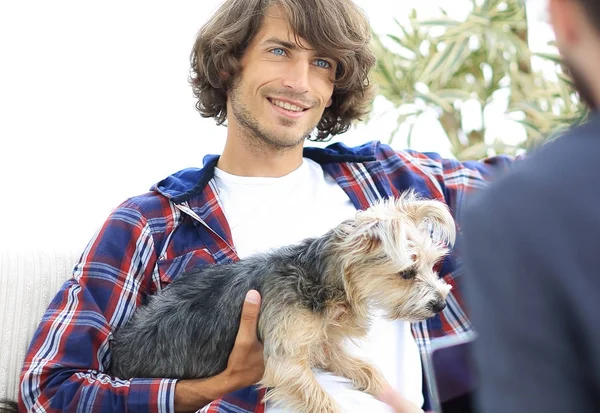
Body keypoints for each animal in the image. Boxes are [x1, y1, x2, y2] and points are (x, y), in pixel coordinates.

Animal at [109, 192, 454, 412]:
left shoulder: (319, 342)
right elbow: (324, 403)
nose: (440, 304)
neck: (317, 277)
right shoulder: (287, 363)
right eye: (407, 273)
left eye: (432, 265)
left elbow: (368, 371)